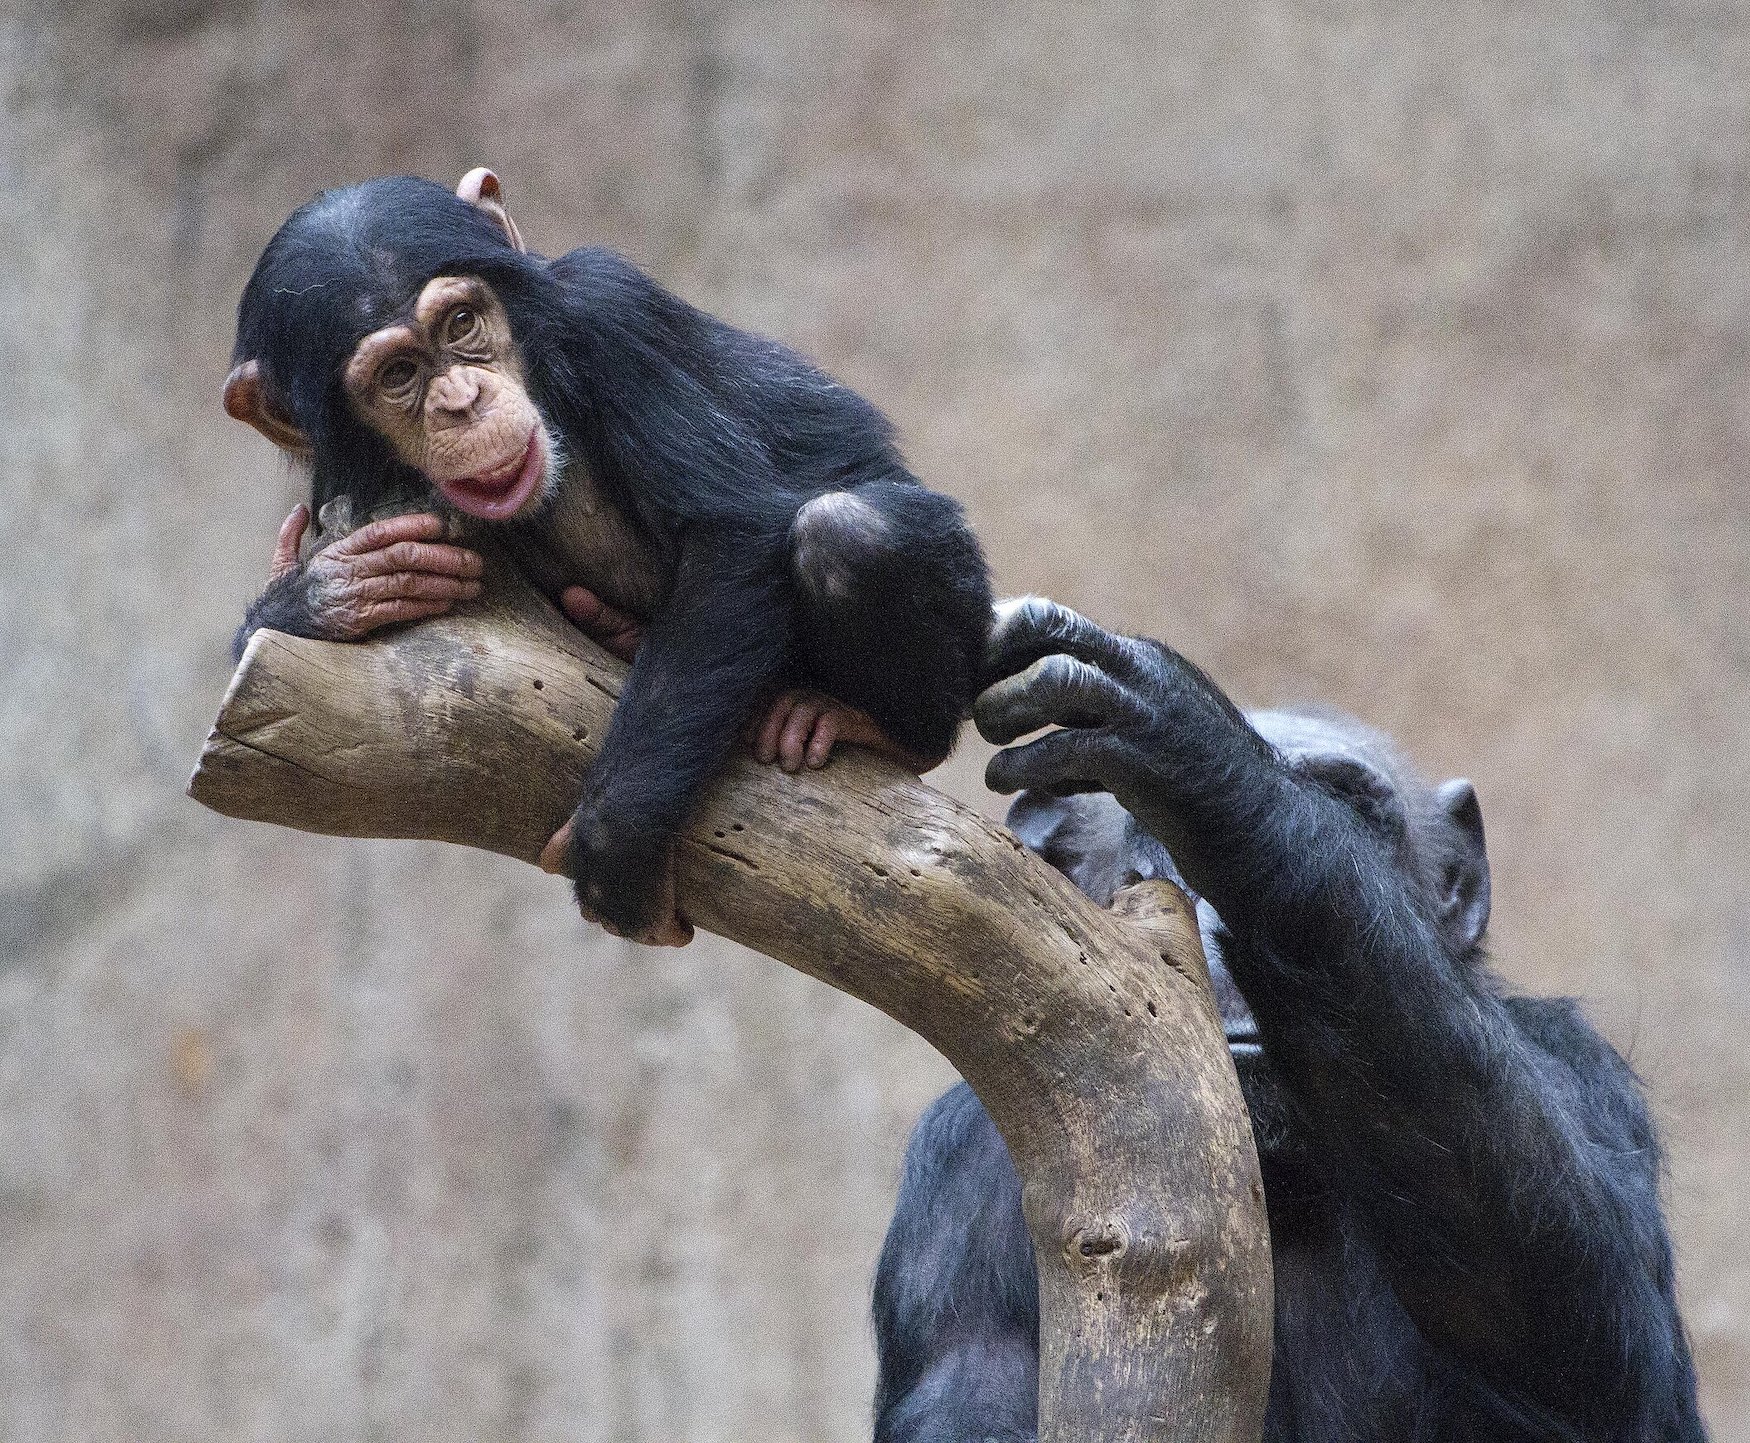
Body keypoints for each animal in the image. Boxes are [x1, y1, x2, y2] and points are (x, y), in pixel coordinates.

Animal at [225, 168, 994, 944]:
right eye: (398, 374)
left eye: (460, 324)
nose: (462, 400)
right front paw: (336, 588)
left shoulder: (610, 316)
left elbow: (732, 530)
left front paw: (612, 844)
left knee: (850, 534)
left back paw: (876, 727)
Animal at [868, 598, 1701, 1441]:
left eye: (1346, 811)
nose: (1219, 928)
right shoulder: (957, 1191)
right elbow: (974, 1394)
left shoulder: (1580, 1073)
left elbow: (1594, 1348)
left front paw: (1199, 754)